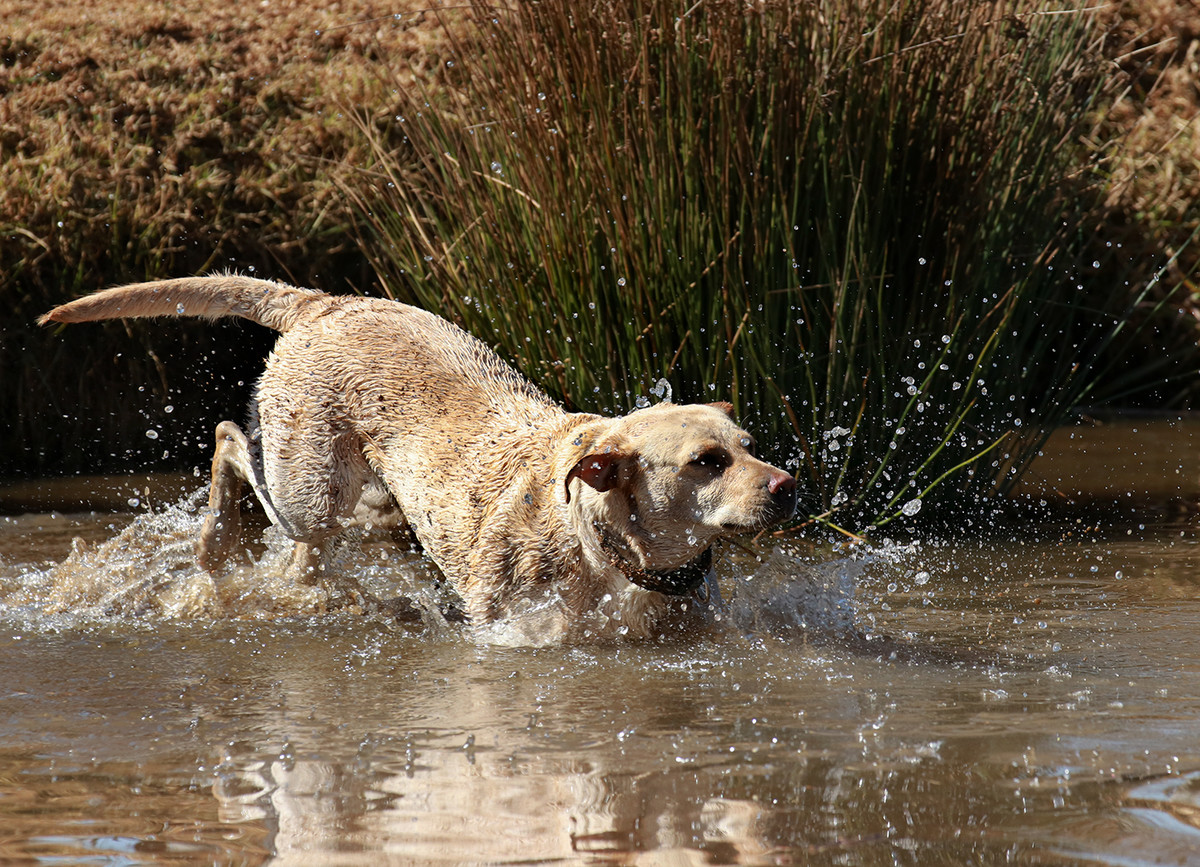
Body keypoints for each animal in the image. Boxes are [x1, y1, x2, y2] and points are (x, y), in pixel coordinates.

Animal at [42, 277, 796, 634]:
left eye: (750, 449)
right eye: (707, 461)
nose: (787, 485)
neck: (604, 544)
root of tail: (326, 301)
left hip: (373, 504)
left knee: (305, 553)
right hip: (310, 485)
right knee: (231, 438)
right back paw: (215, 541)